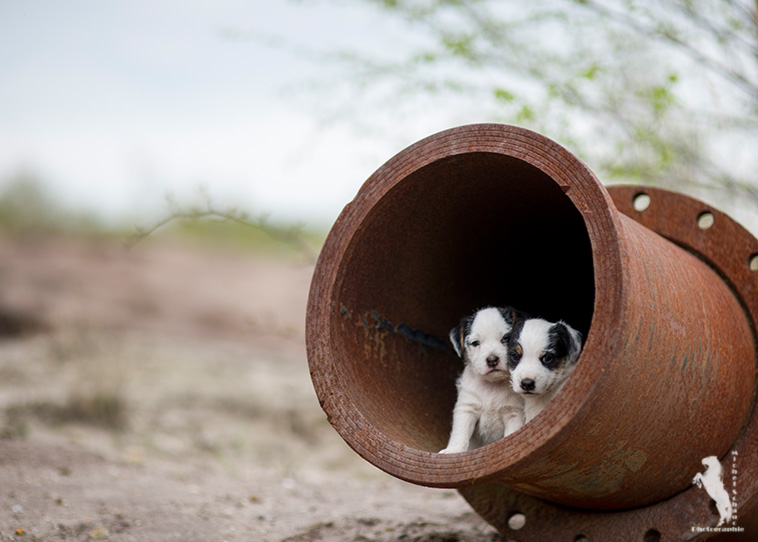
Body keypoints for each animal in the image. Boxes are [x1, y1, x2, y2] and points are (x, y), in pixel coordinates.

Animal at [440, 306, 528, 454]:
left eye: (506, 338)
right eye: (475, 343)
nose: (492, 360)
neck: (492, 385)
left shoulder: (514, 413)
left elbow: (512, 433)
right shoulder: (466, 409)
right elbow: (460, 434)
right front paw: (454, 451)